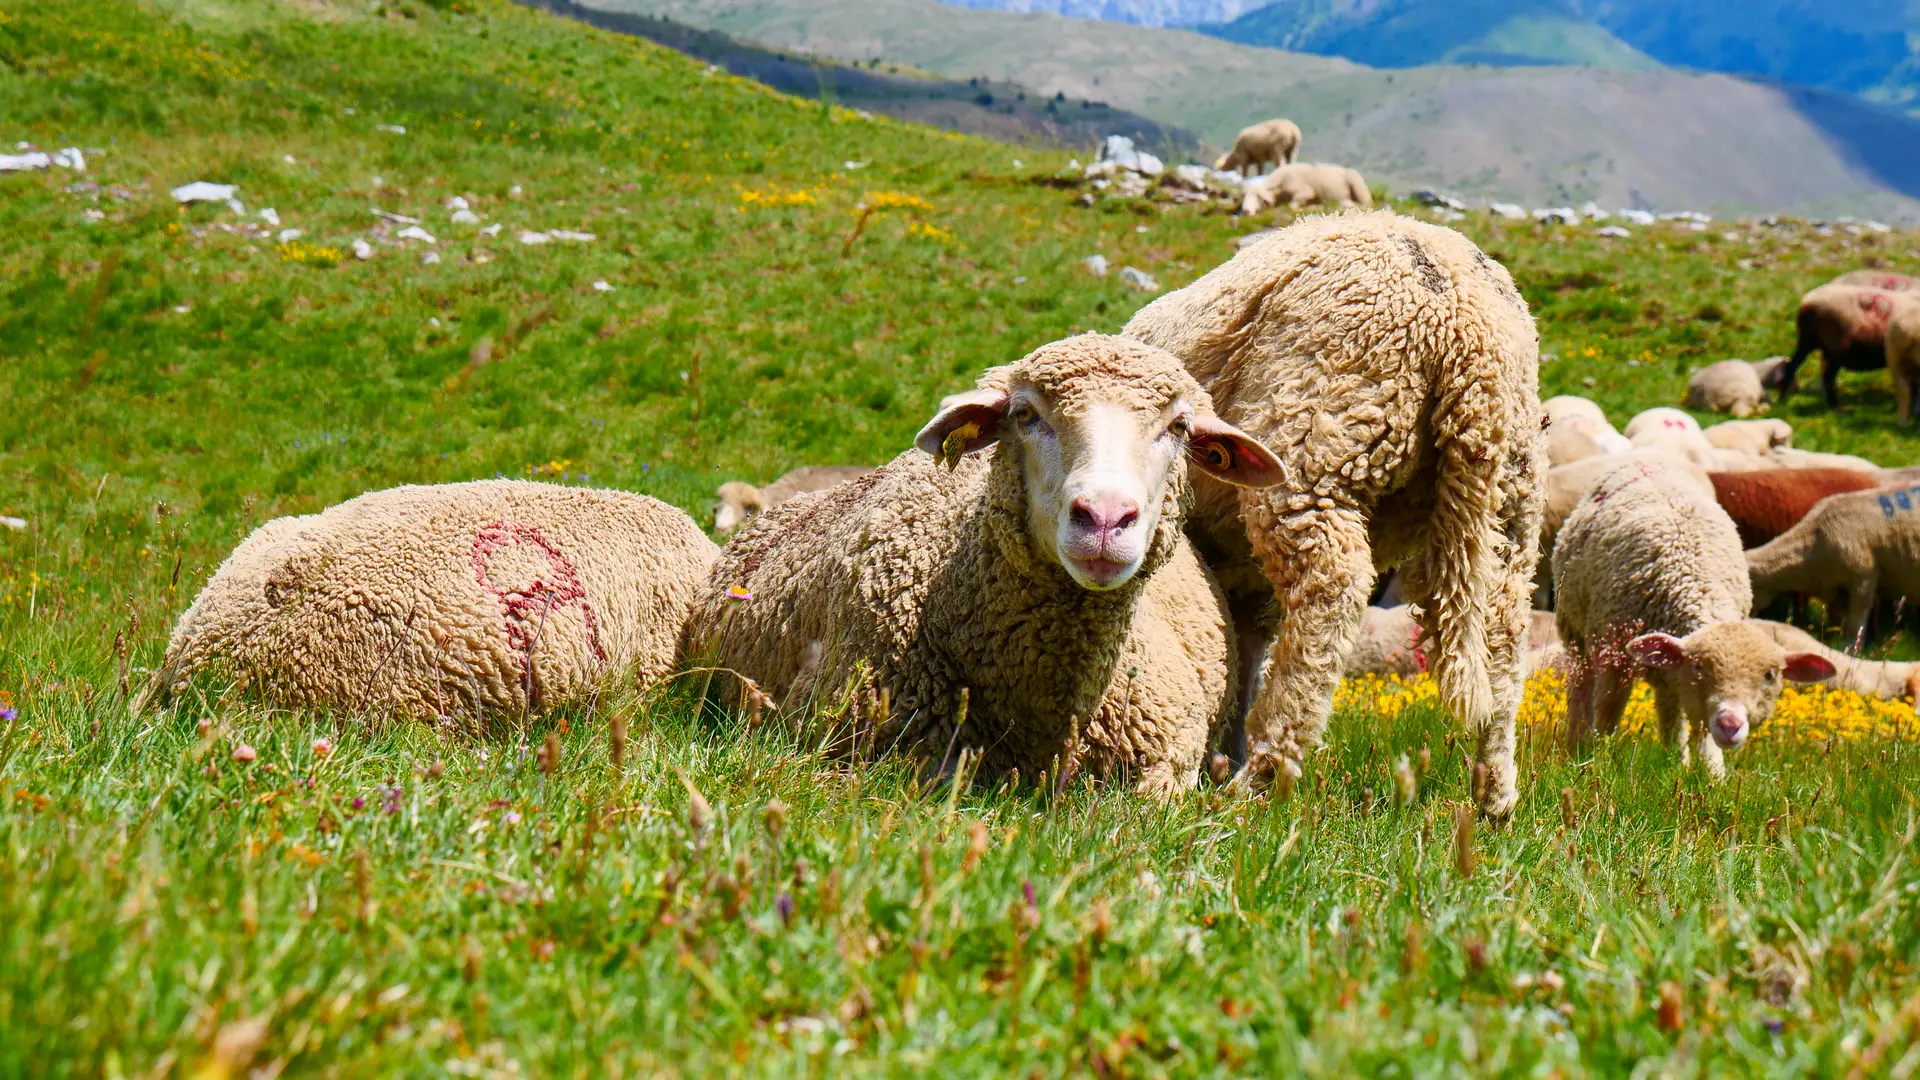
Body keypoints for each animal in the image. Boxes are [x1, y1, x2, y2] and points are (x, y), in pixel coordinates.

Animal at [1123, 210, 1546, 819]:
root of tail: (1466, 329)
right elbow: (1243, 646)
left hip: (1317, 438)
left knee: (1332, 591)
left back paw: (1261, 776)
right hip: (1512, 494)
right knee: (1503, 631)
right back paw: (1495, 794)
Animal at [1239, 163, 1371, 216]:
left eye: (1258, 196)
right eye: (1244, 196)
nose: (1246, 211)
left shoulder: (1306, 191)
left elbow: (1292, 206)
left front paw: (1313, 207)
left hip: (1356, 183)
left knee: (1365, 204)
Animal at [1553, 461, 1834, 778]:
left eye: (1769, 675)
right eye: (1699, 666)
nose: (1730, 724)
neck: (1696, 582)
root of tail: (1645, 457)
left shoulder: (1686, 681)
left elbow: (1699, 729)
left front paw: (1712, 774)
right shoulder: (1615, 655)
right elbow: (1608, 712)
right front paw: (1598, 759)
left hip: (1665, 667)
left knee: (1670, 711)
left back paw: (1675, 758)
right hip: (1576, 631)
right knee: (1581, 687)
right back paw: (1576, 742)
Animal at [1748, 482, 1920, 647]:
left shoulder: (1864, 579)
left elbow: (1856, 622)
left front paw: (1851, 648)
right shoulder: (1835, 587)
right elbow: (1837, 619)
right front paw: (1831, 642)